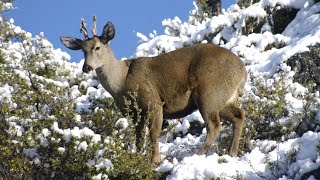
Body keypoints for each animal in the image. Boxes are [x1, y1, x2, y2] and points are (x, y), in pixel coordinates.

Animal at [61, 16, 249, 164]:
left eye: (97, 47)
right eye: (83, 50)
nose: (86, 67)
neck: (122, 82)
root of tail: (242, 72)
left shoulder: (154, 102)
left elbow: (153, 134)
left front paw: (155, 161)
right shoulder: (135, 113)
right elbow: (138, 139)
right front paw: (137, 159)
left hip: (208, 92)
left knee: (214, 126)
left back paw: (198, 155)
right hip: (222, 98)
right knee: (239, 115)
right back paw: (232, 153)